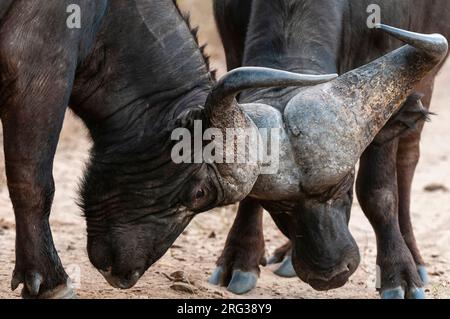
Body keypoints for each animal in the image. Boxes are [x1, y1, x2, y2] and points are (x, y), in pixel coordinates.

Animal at [212, 0, 450, 300]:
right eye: (278, 205)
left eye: (343, 184)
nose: (330, 274)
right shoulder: (232, 49)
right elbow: (247, 186)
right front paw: (239, 258)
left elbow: (378, 192)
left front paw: (399, 274)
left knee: (407, 158)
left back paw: (416, 259)